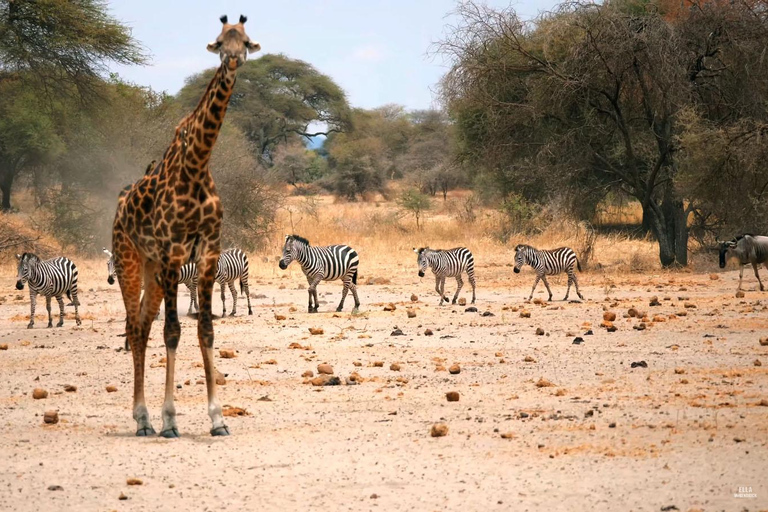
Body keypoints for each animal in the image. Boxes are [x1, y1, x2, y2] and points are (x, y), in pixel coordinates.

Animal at [112, 17, 260, 440]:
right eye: (219, 41)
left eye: (245, 40)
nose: (233, 58)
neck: (196, 165)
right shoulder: (173, 253)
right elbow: (173, 331)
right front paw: (170, 420)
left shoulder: (208, 252)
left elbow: (206, 329)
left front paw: (218, 418)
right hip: (130, 260)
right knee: (135, 327)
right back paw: (143, 418)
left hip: (151, 268)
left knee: (143, 325)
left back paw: (144, 419)